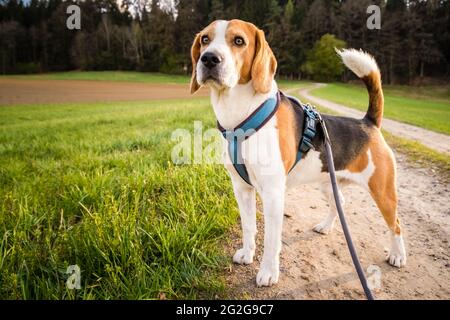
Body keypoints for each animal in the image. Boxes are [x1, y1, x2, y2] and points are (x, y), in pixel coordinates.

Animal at [188, 18, 406, 286]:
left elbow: (272, 240)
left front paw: (268, 273)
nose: (209, 58)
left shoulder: (273, 194)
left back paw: (397, 255)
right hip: (329, 183)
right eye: (205, 39)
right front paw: (247, 254)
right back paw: (325, 226)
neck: (239, 115)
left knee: (396, 224)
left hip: (383, 192)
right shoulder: (241, 188)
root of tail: (368, 122)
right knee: (340, 203)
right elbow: (248, 227)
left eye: (239, 41)